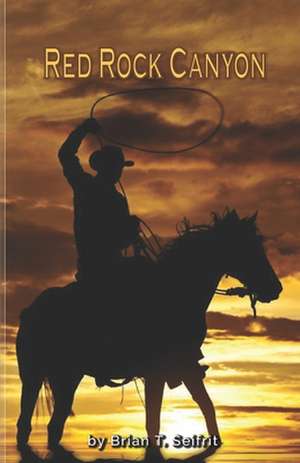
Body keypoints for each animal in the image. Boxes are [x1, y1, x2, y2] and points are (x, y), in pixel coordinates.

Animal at [15, 209, 282, 450]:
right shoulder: (158, 370)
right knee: (27, 422)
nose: (275, 288)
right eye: (248, 247)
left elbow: (206, 406)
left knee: (54, 425)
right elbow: (154, 421)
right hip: (35, 375)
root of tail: (30, 310)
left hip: (67, 375)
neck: (176, 293)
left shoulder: (186, 365)